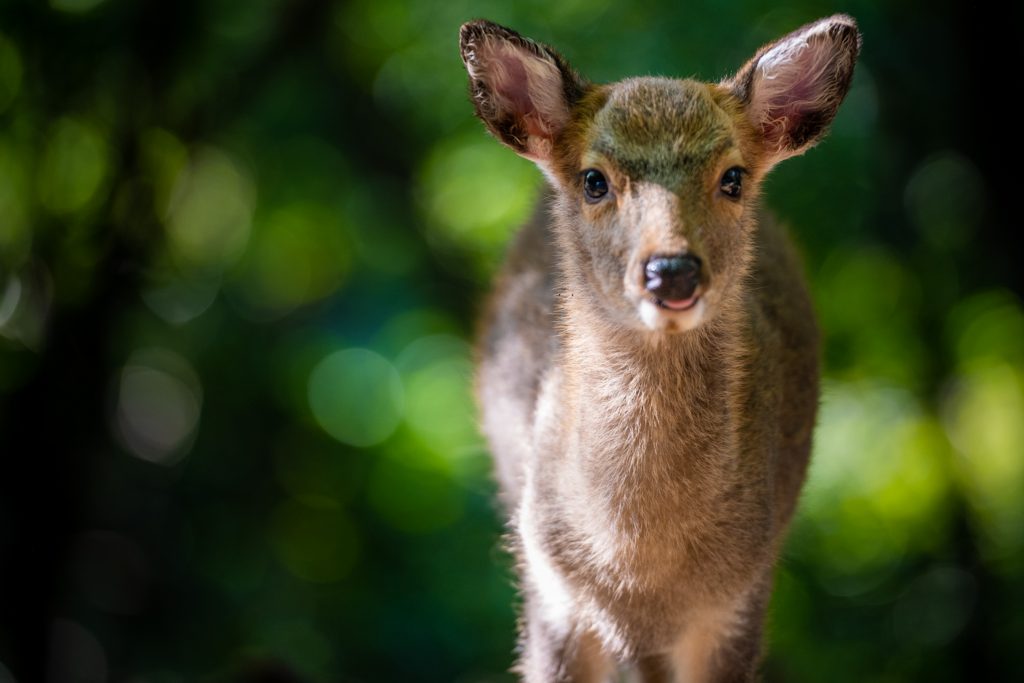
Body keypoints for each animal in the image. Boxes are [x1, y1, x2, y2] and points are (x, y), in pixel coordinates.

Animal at [460, 15, 860, 683]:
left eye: (733, 177)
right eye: (594, 179)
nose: (671, 271)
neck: (641, 573)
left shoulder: (739, 602)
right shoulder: (551, 593)